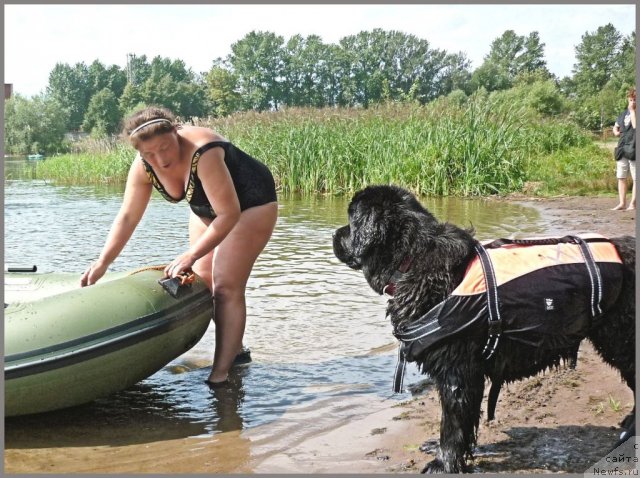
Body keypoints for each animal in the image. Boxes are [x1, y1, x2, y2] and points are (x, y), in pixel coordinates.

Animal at [336, 185, 636, 472]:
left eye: (350, 220)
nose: (335, 235)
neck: (413, 260)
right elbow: (463, 422)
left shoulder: (456, 370)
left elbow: (453, 422)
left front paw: (443, 463)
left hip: (621, 341)